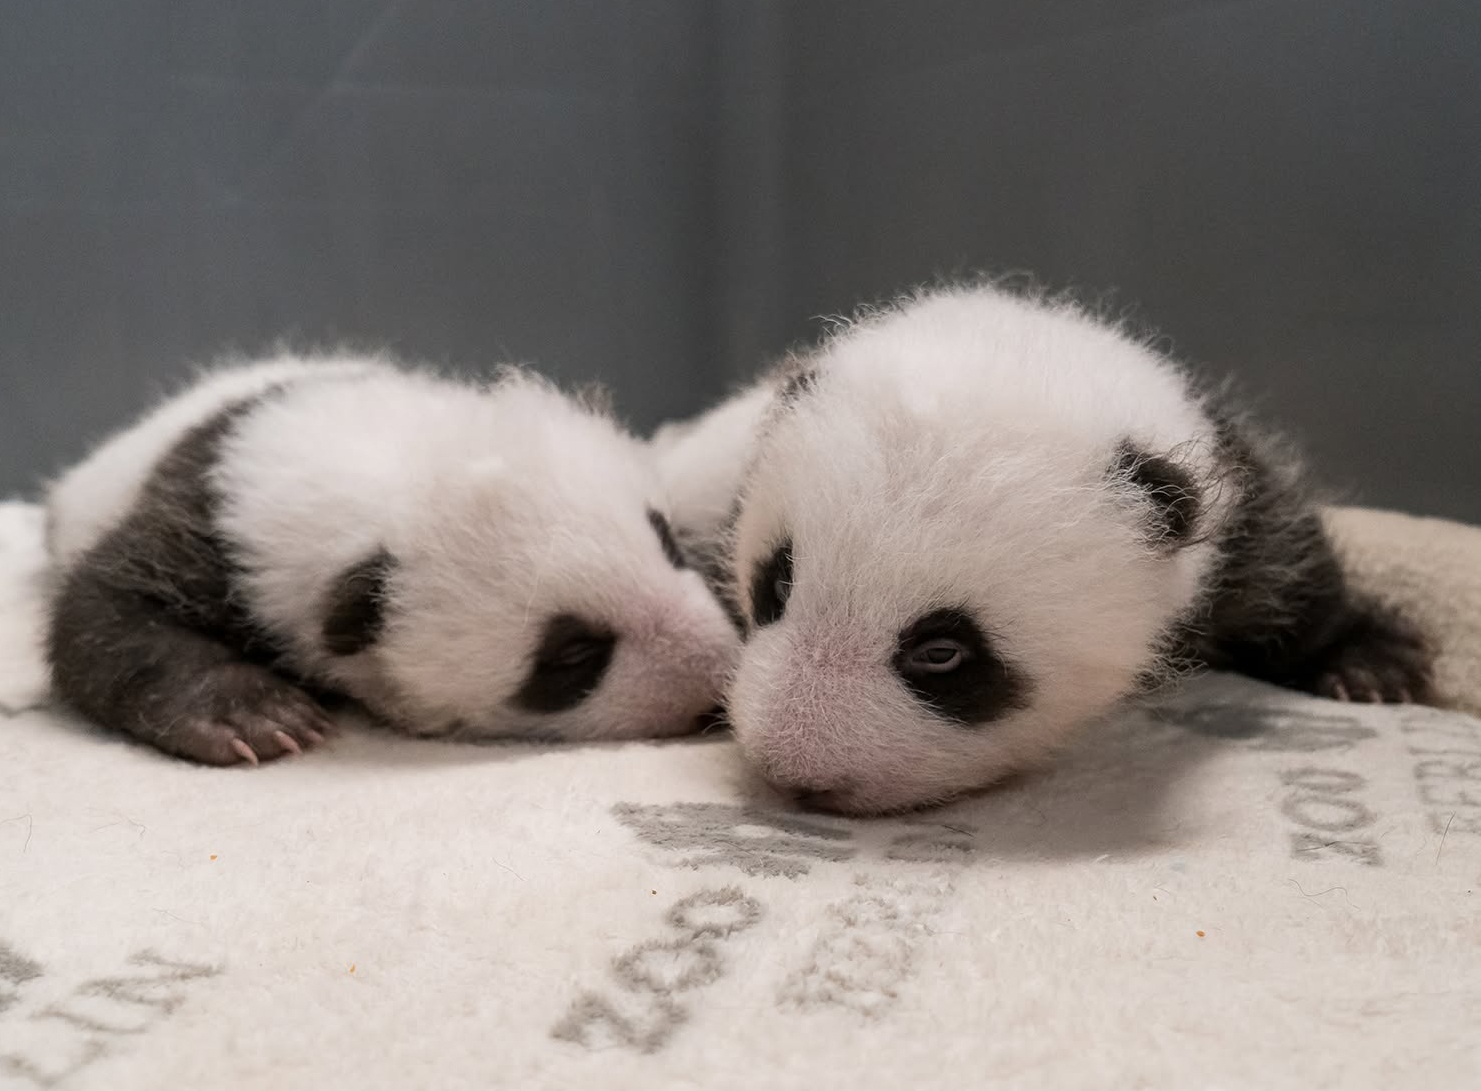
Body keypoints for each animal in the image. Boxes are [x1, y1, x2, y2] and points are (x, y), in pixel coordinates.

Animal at [46, 353, 740, 765]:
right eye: (573, 654)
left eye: (667, 542)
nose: (718, 679)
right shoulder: (207, 523)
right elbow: (102, 608)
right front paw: (255, 715)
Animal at [653, 283, 1433, 815]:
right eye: (776, 586)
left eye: (942, 651)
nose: (794, 772)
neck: (1041, 348)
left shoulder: (1223, 491)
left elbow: (1287, 564)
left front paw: (1369, 666)